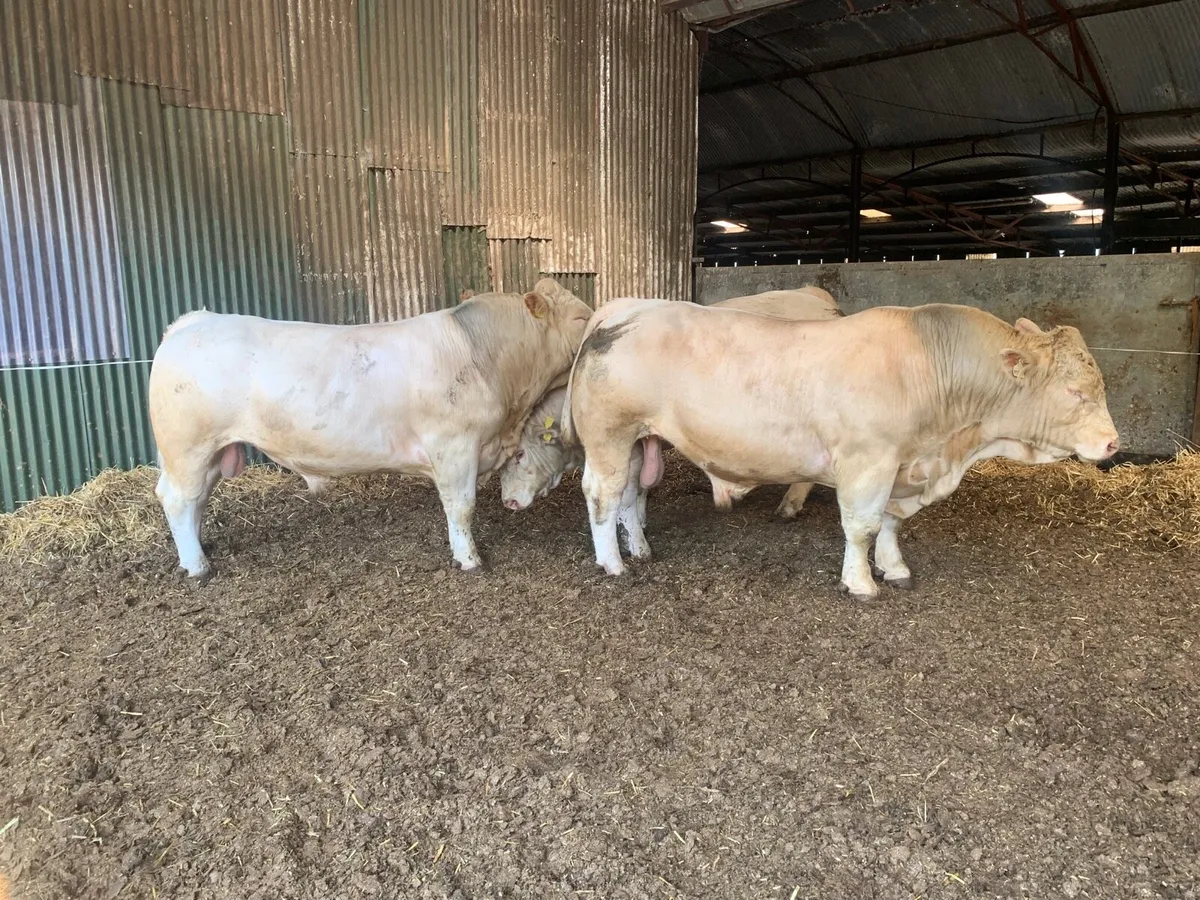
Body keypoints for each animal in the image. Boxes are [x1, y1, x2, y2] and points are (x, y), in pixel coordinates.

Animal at [148, 278, 593, 580]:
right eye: (582, 317)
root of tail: (194, 321)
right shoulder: (453, 446)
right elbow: (462, 506)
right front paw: (469, 559)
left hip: (206, 453)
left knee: (195, 500)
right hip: (188, 447)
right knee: (178, 499)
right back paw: (197, 565)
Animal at [560, 300, 1119, 598]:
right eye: (1075, 391)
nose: (1113, 442)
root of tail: (627, 305)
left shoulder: (902, 467)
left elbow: (890, 524)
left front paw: (894, 567)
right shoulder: (869, 461)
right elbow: (863, 525)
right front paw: (861, 582)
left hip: (639, 439)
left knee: (629, 495)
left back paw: (640, 549)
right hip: (609, 435)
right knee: (602, 495)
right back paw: (612, 563)